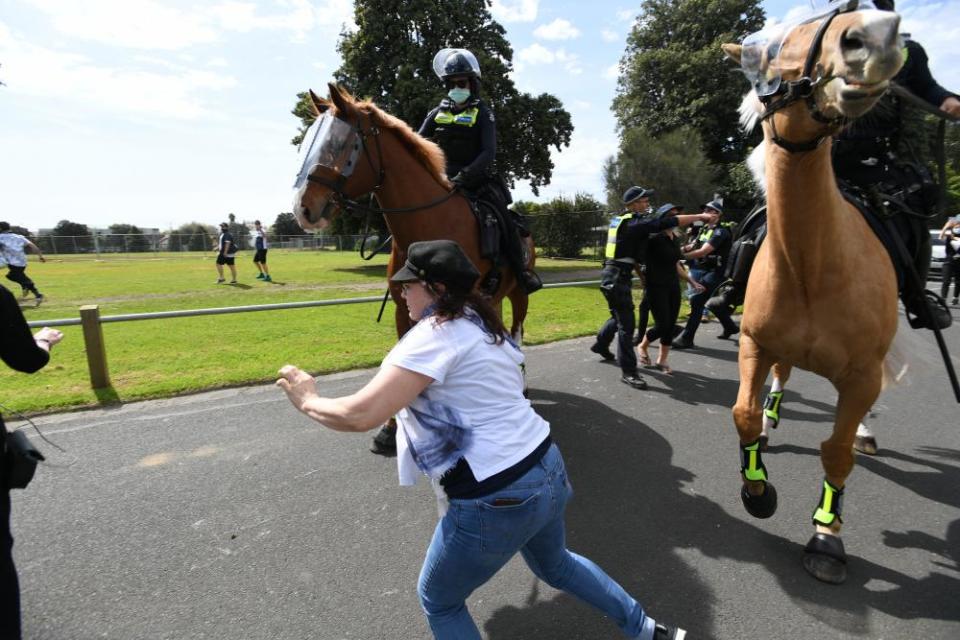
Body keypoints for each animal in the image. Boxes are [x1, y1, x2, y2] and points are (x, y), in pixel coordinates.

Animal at [724, 3, 904, 584]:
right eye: (770, 51)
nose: (874, 36)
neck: (811, 264)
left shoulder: (861, 373)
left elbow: (838, 452)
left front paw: (827, 535)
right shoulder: (755, 343)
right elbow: (744, 414)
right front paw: (757, 489)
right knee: (781, 379)